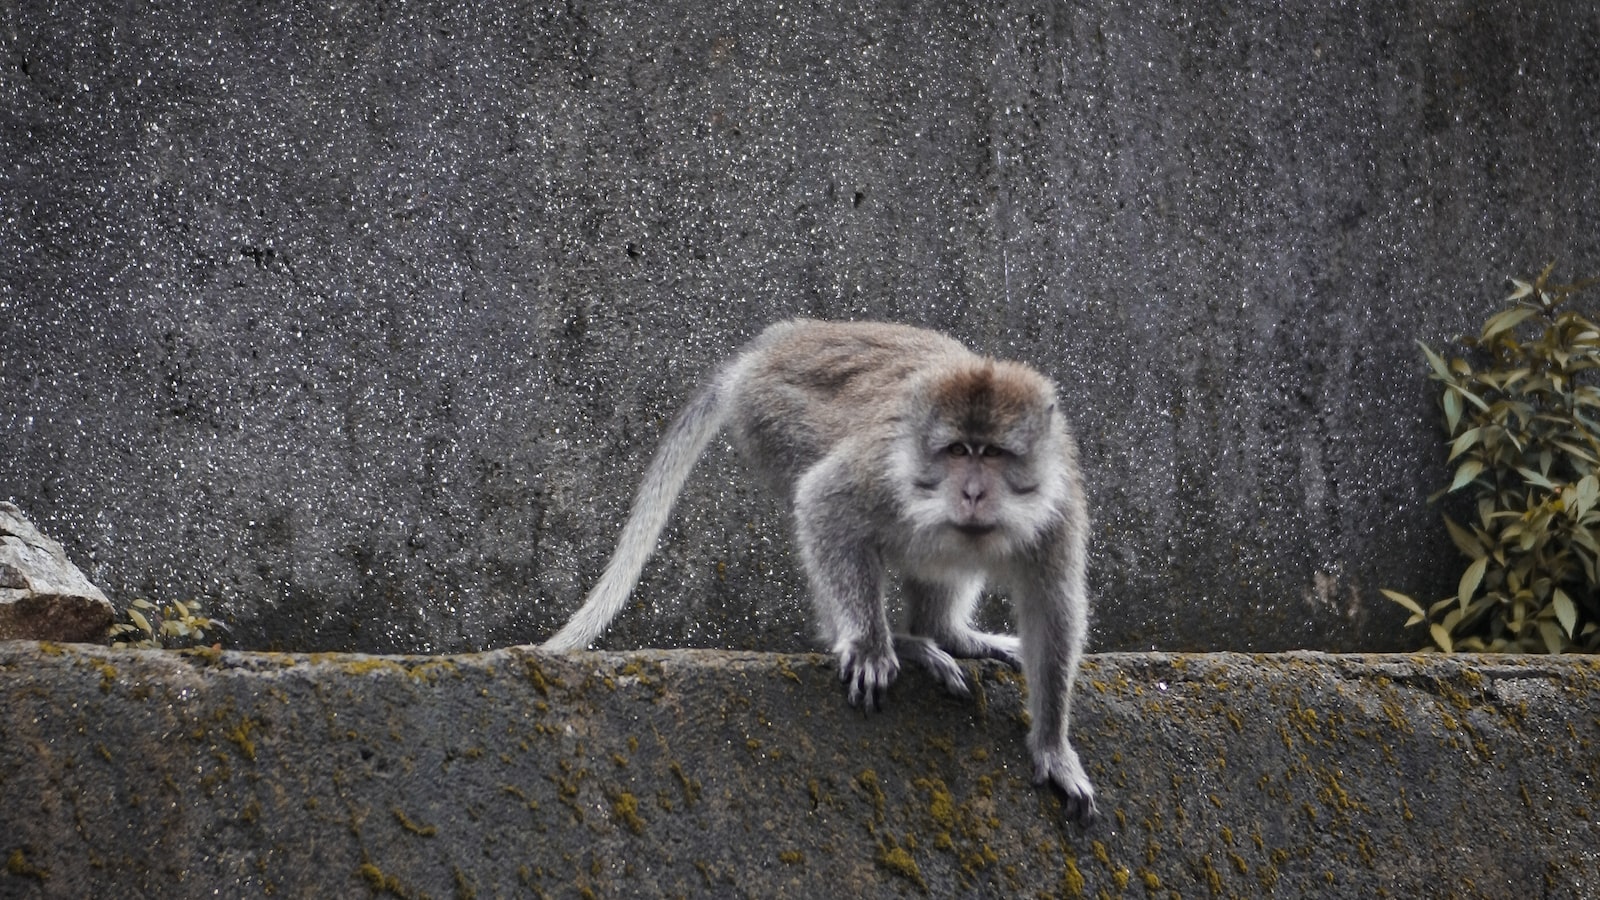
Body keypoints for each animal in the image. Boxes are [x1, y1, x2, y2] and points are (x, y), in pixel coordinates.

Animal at [537, 318, 1100, 826]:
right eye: (959, 451)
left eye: (996, 454)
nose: (973, 493)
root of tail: (771, 345)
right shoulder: (882, 471)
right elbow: (824, 504)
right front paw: (870, 646)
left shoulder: (1060, 505)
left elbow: (1054, 608)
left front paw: (1052, 747)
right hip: (772, 415)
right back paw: (895, 642)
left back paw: (945, 633)